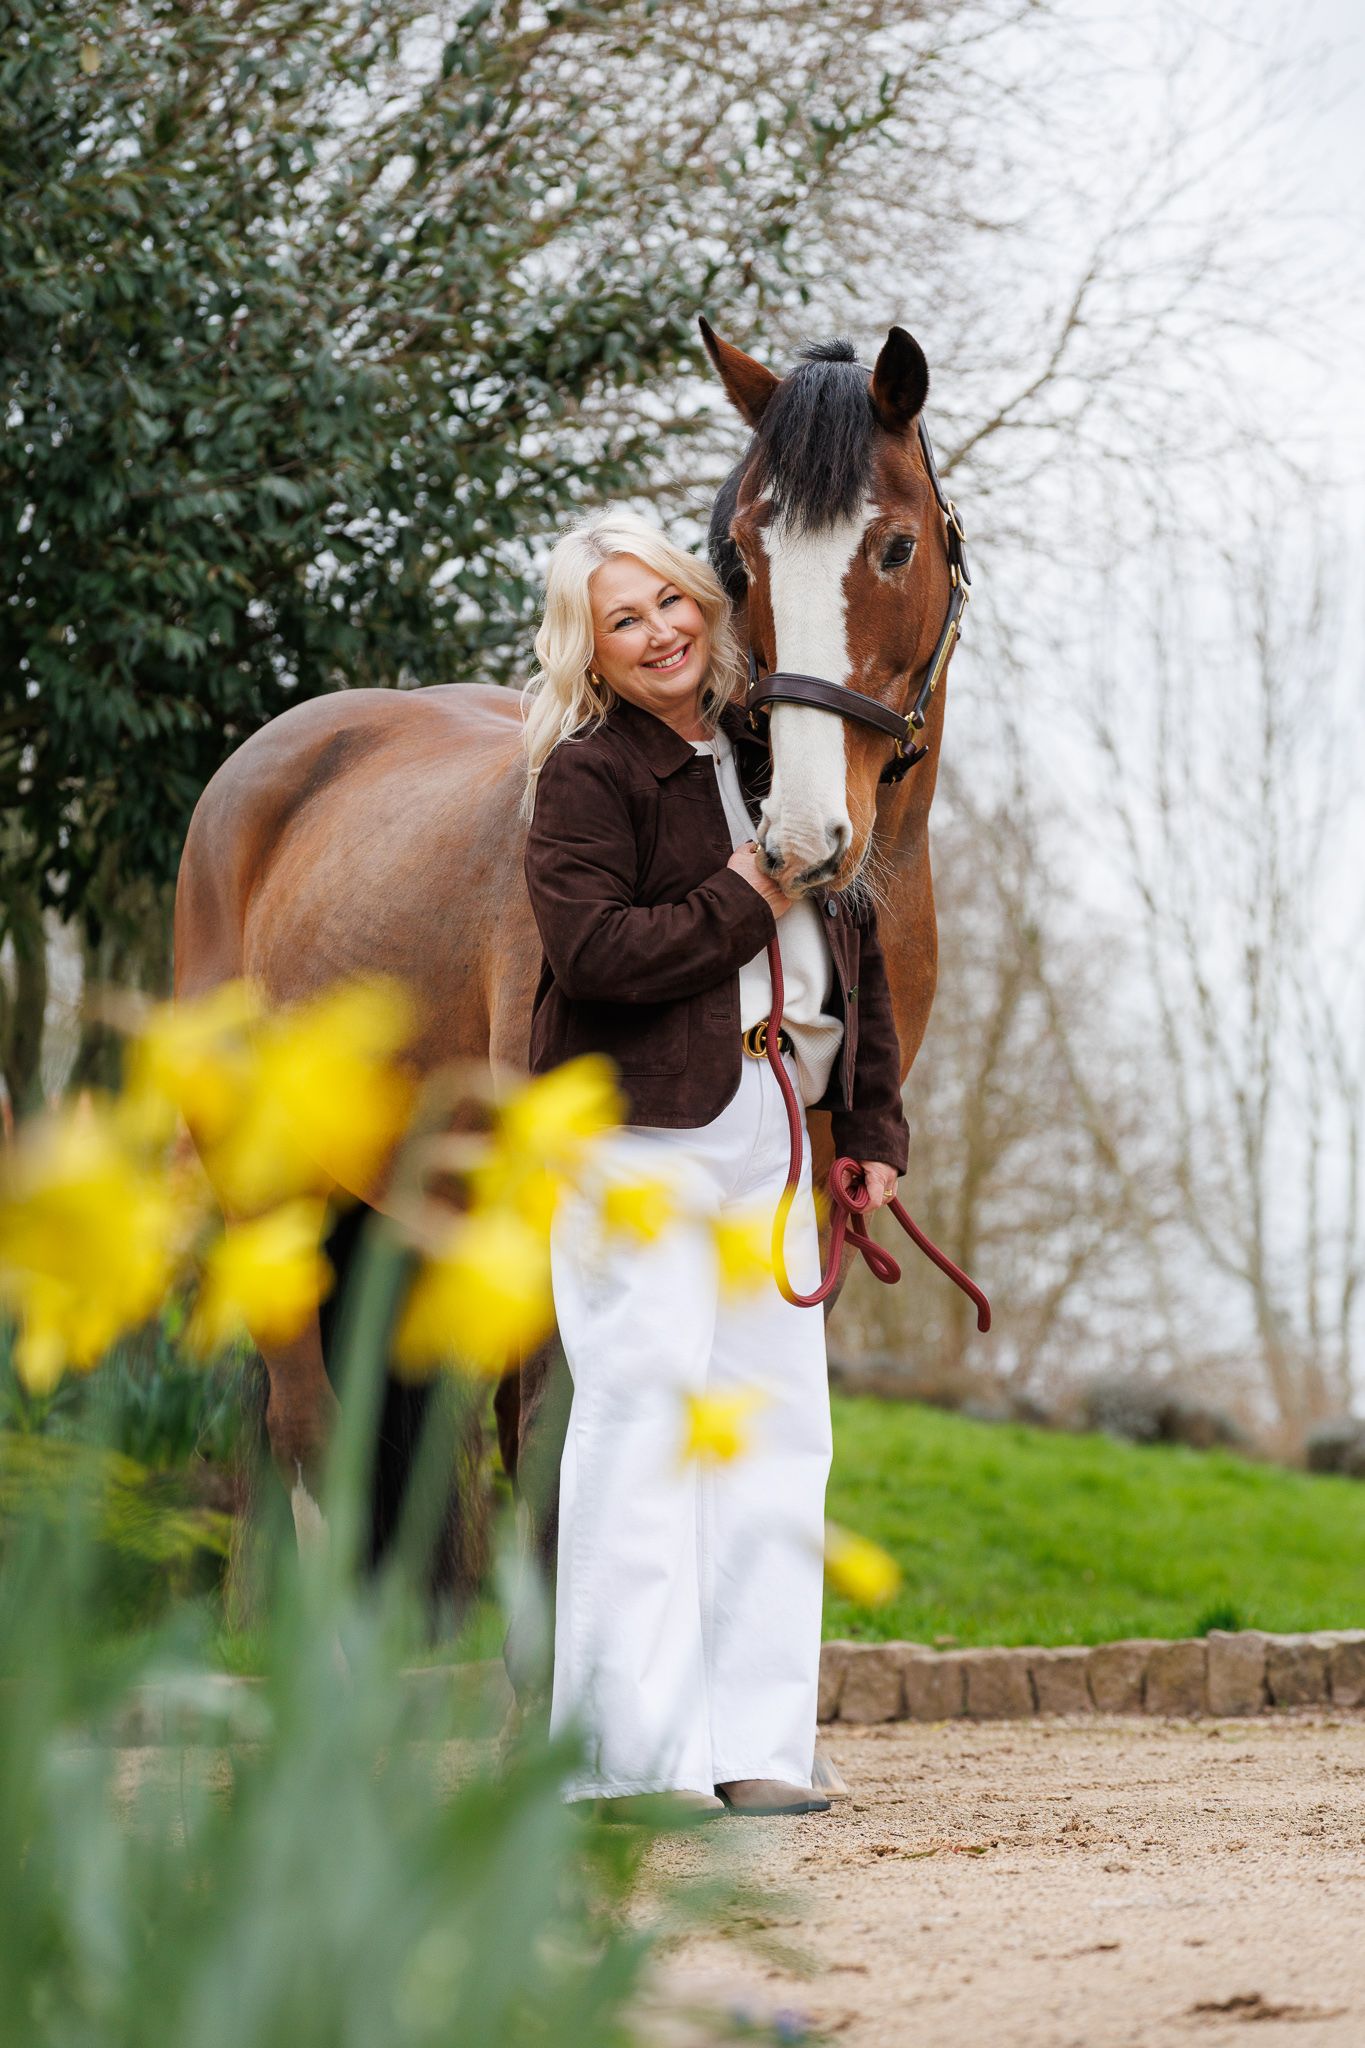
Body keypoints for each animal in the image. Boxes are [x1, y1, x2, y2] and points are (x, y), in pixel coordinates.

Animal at [173, 320, 965, 1621]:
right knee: (306, 1426)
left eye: (895, 544)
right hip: (269, 1179)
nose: (799, 840)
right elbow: (557, 1464)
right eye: (741, 556)